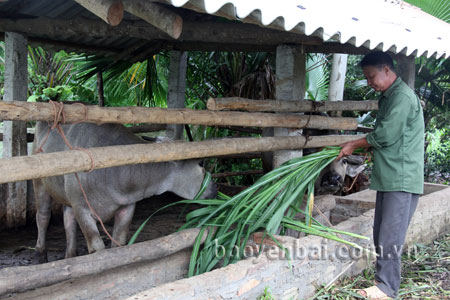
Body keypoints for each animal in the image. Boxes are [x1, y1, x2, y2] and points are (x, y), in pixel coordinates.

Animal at [32, 122, 217, 262]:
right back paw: (40, 254)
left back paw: (70, 255)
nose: (215, 188)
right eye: (201, 165)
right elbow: (97, 248)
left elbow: (119, 243)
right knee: (43, 216)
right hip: (40, 183)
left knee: (68, 220)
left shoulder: (127, 207)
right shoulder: (81, 208)